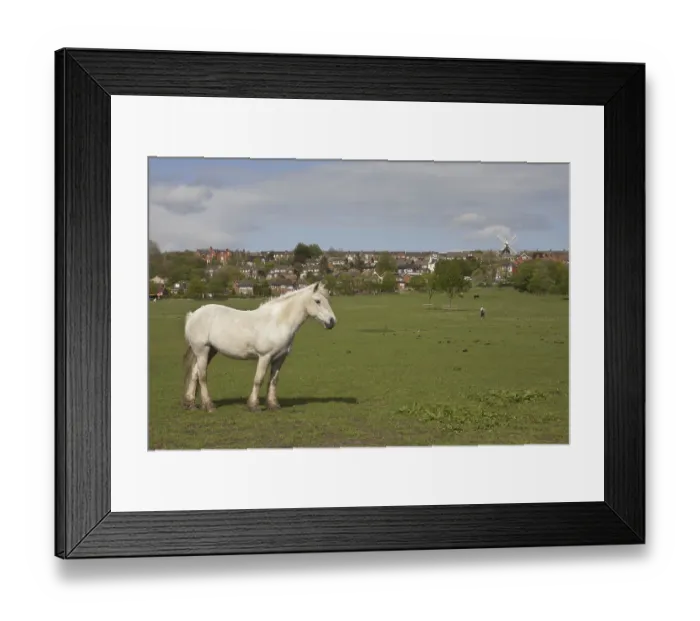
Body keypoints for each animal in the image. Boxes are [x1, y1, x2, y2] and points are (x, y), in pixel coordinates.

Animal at [182, 281, 337, 413]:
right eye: (318, 301)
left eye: (328, 300)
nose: (332, 322)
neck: (277, 322)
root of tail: (193, 315)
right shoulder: (264, 356)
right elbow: (259, 379)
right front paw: (253, 406)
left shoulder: (279, 358)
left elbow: (273, 381)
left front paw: (273, 405)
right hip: (202, 351)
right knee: (202, 376)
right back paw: (209, 406)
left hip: (209, 351)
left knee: (195, 374)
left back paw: (191, 404)